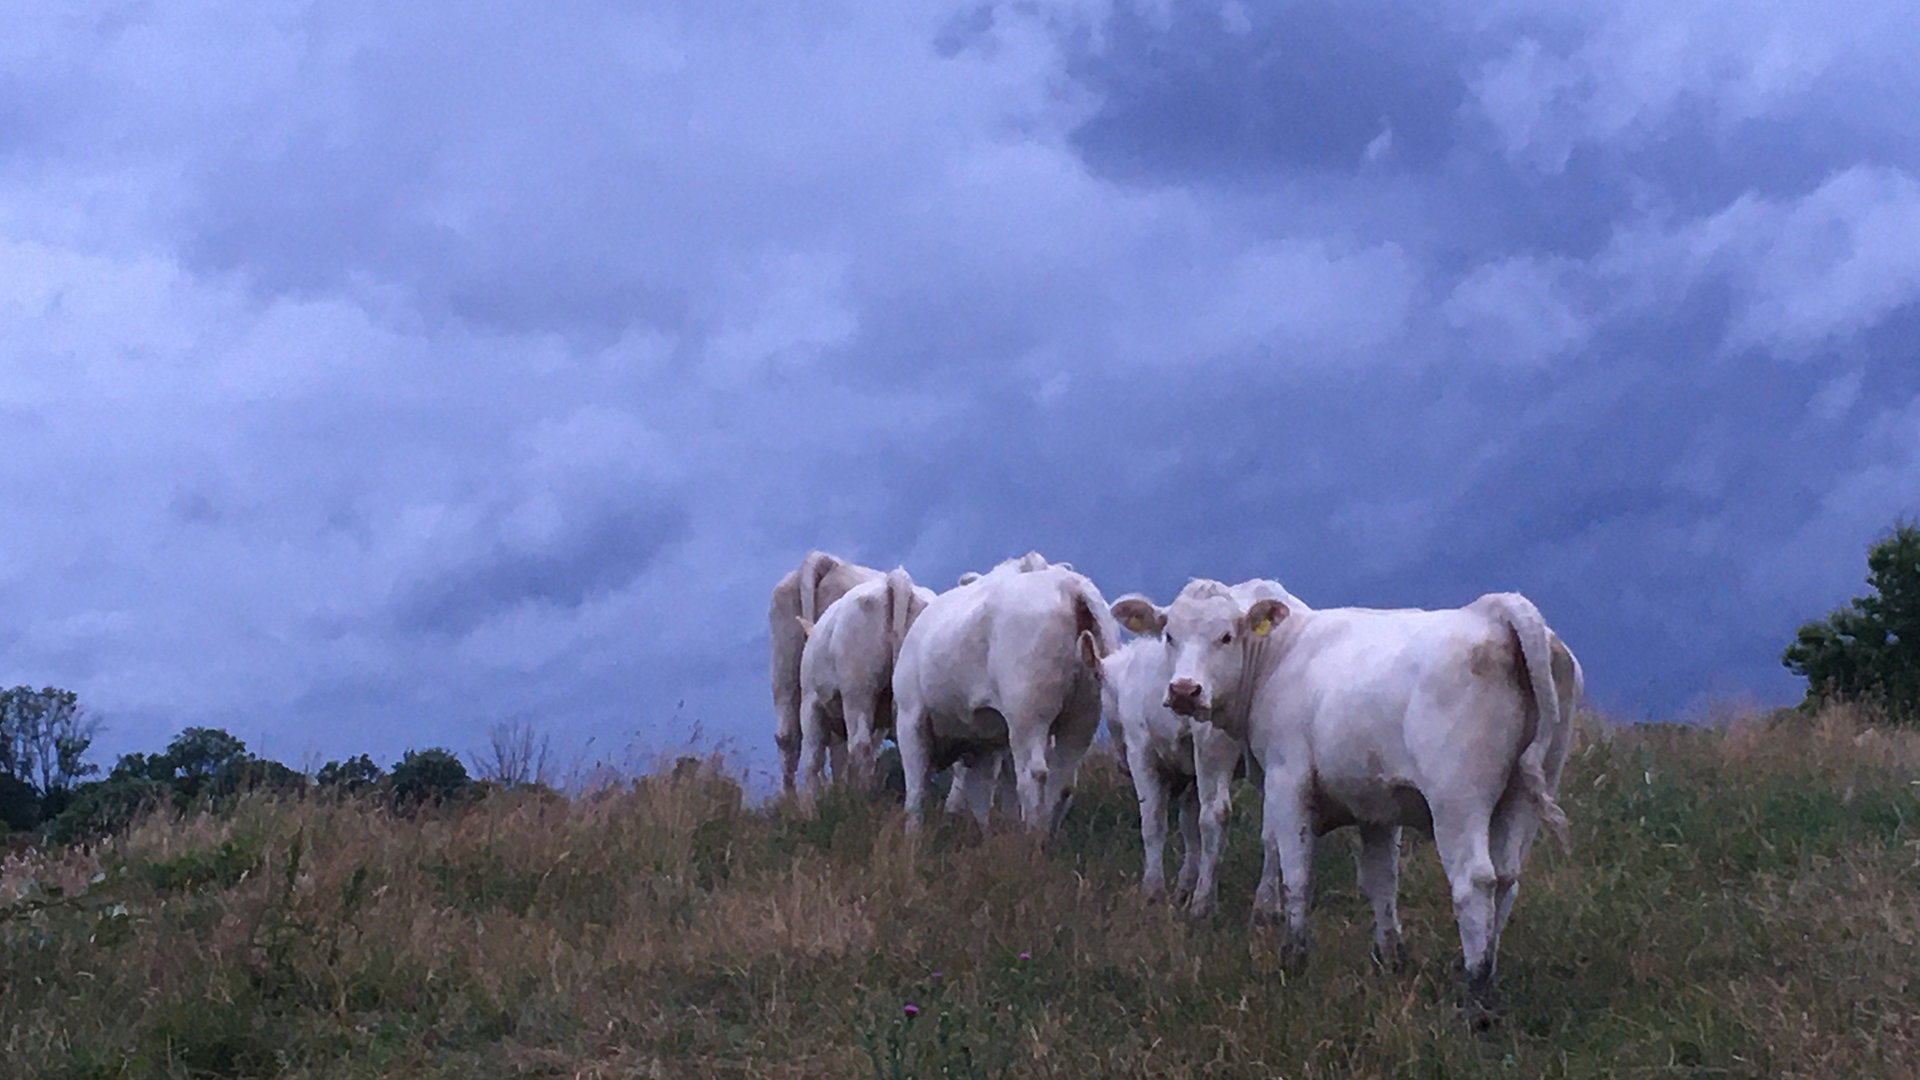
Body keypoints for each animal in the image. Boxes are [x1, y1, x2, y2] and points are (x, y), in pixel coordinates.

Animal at [795, 568, 934, 792]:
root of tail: (897, 580)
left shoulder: (809, 704)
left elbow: (812, 761)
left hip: (858, 689)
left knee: (860, 745)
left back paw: (860, 794)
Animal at [893, 558, 1119, 831]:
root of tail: (1069, 586)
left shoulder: (911, 716)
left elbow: (916, 790)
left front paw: (912, 836)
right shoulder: (986, 742)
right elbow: (985, 797)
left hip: (1028, 712)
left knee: (1033, 775)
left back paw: (1031, 836)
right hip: (1083, 716)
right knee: (1062, 781)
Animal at [1108, 578, 1304, 916]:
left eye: (1226, 637)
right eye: (1169, 635)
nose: (1184, 690)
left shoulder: (1230, 751)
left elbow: (1223, 820)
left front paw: (1220, 903)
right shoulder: (1150, 748)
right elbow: (1162, 820)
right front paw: (1165, 893)